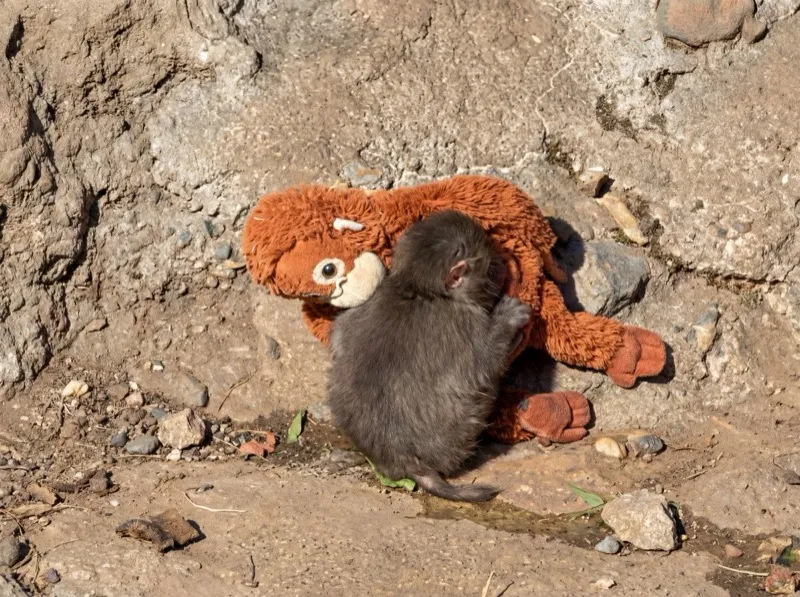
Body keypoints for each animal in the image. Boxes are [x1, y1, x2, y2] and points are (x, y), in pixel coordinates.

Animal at [326, 209, 532, 502]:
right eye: (491, 266)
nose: (504, 267)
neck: (421, 290)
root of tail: (401, 460)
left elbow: (340, 334)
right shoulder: (466, 322)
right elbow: (488, 361)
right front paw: (510, 316)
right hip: (462, 428)